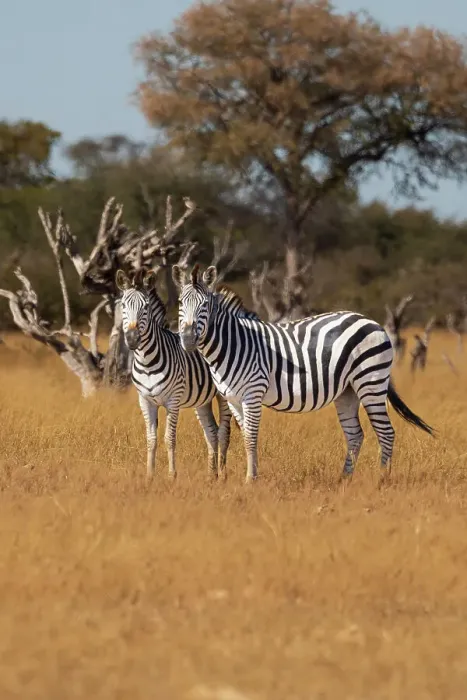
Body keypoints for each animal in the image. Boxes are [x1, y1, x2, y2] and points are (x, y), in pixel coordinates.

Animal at [116, 267, 234, 479]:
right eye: (123, 306)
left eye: (145, 307)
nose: (132, 339)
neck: (147, 362)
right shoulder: (145, 400)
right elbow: (151, 439)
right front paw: (149, 476)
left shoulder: (173, 400)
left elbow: (169, 438)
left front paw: (172, 476)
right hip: (202, 400)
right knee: (211, 432)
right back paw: (211, 476)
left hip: (223, 395)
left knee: (224, 432)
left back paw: (222, 475)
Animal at [172, 263, 434, 484]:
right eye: (180, 304)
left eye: (205, 306)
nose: (188, 340)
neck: (234, 343)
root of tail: (372, 322)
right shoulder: (233, 398)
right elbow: (245, 435)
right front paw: (249, 477)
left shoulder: (253, 393)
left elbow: (250, 438)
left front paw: (250, 481)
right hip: (348, 390)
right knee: (355, 435)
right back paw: (344, 480)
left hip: (371, 381)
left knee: (386, 432)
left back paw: (381, 481)